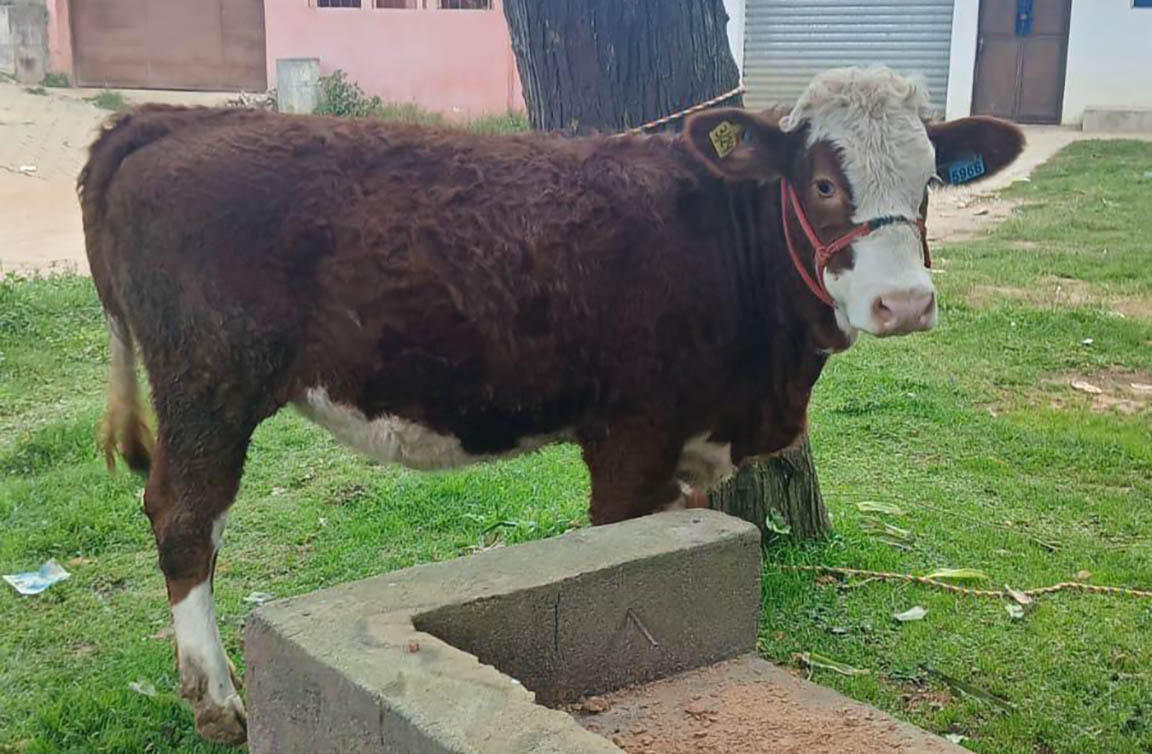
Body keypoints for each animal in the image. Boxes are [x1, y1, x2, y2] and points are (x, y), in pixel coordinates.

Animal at [80, 66, 1023, 744]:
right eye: (824, 182)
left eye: (931, 180)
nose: (905, 303)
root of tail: (167, 119)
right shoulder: (631, 431)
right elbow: (613, 547)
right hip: (209, 384)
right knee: (184, 517)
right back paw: (218, 702)